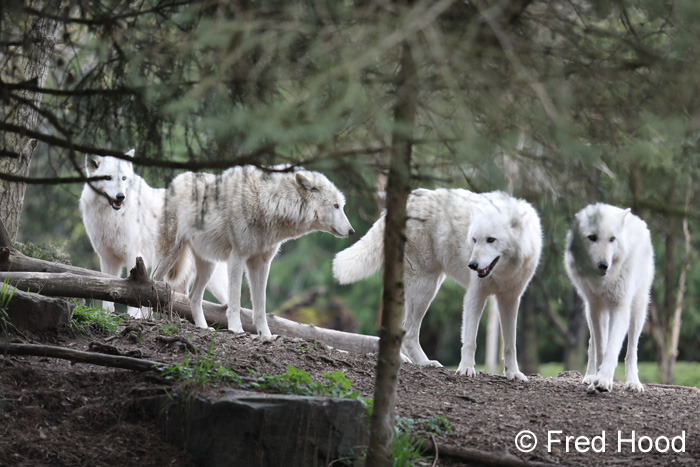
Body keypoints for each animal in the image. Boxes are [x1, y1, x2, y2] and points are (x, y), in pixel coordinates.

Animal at [79, 151, 229, 317]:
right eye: (107, 177)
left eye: (124, 178)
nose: (120, 196)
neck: (111, 217)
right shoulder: (107, 258)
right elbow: (107, 289)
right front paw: (107, 314)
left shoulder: (133, 255)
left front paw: (134, 316)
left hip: (215, 279)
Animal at [152, 165, 355, 336]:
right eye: (336, 206)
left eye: (342, 206)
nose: (352, 231)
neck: (268, 201)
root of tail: (174, 181)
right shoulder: (237, 257)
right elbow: (234, 300)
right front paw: (236, 328)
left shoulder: (261, 264)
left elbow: (260, 306)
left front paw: (266, 335)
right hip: (169, 255)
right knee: (152, 280)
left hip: (208, 266)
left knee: (192, 296)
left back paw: (203, 327)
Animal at [333, 188, 542, 381]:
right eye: (474, 240)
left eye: (491, 240)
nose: (472, 265)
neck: (503, 272)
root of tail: (409, 200)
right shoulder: (474, 295)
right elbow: (470, 340)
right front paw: (466, 369)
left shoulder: (510, 300)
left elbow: (510, 344)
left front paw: (514, 373)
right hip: (425, 288)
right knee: (409, 331)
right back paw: (425, 363)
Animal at [565, 203, 654, 393]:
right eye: (592, 237)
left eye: (612, 239)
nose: (604, 265)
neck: (604, 282)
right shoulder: (596, 308)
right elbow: (600, 348)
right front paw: (597, 379)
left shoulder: (620, 307)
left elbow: (612, 348)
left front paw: (604, 380)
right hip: (590, 311)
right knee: (591, 343)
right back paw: (590, 375)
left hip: (638, 310)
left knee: (632, 350)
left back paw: (633, 382)